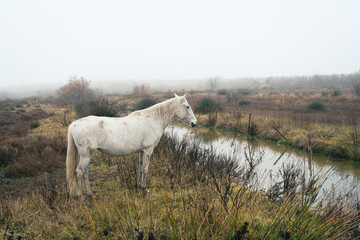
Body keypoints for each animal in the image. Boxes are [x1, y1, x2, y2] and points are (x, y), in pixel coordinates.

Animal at [66, 94, 198, 197]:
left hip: (89, 155)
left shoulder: (142, 151)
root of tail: (74, 124)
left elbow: (140, 168)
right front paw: (145, 189)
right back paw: (80, 195)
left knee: (85, 173)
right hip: (85, 155)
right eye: (187, 106)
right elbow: (145, 169)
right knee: (79, 172)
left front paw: (139, 186)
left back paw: (90, 194)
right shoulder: (148, 150)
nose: (194, 123)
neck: (152, 120)